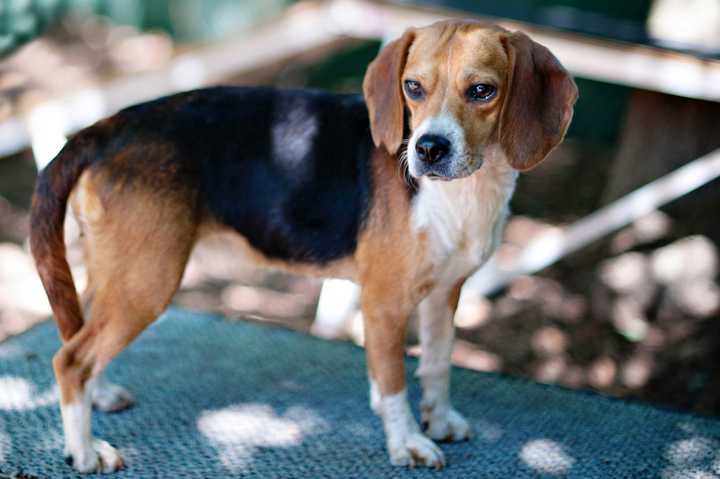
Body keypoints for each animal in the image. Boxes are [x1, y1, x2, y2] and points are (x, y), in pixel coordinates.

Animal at [31, 19, 576, 472]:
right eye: (413, 88)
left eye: (482, 91)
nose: (428, 149)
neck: (465, 191)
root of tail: (110, 126)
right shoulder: (384, 304)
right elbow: (394, 383)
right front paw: (407, 443)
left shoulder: (445, 293)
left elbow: (438, 366)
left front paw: (440, 422)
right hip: (147, 281)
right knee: (71, 360)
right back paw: (84, 451)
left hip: (118, 274)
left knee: (78, 336)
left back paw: (100, 396)